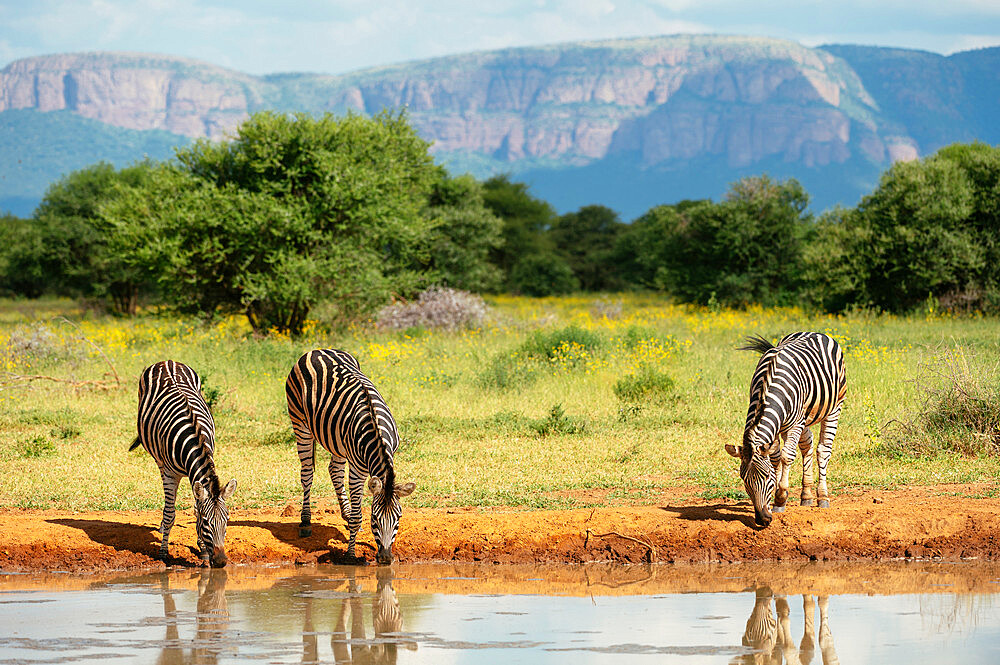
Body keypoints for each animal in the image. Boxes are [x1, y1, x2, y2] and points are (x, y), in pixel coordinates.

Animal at [130, 360, 237, 568]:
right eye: (206, 522)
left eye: (227, 519)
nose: (221, 562)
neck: (194, 438)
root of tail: (167, 361)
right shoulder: (171, 473)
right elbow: (170, 514)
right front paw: (163, 553)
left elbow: (196, 508)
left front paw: (202, 551)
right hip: (160, 461)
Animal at [288, 350, 416, 564]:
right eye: (375, 519)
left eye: (398, 519)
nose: (385, 559)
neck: (376, 432)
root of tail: (316, 350)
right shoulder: (357, 468)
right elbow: (358, 517)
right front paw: (350, 555)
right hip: (300, 424)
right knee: (306, 474)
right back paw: (305, 521)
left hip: (337, 440)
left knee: (334, 470)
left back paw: (346, 514)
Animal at [724, 332, 848, 528]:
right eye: (744, 480)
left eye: (767, 476)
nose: (762, 520)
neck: (767, 388)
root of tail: (814, 332)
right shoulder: (780, 425)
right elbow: (775, 457)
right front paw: (777, 498)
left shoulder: (795, 423)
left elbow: (786, 456)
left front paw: (781, 497)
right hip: (800, 419)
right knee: (807, 445)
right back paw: (806, 496)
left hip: (834, 407)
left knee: (822, 451)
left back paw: (823, 497)